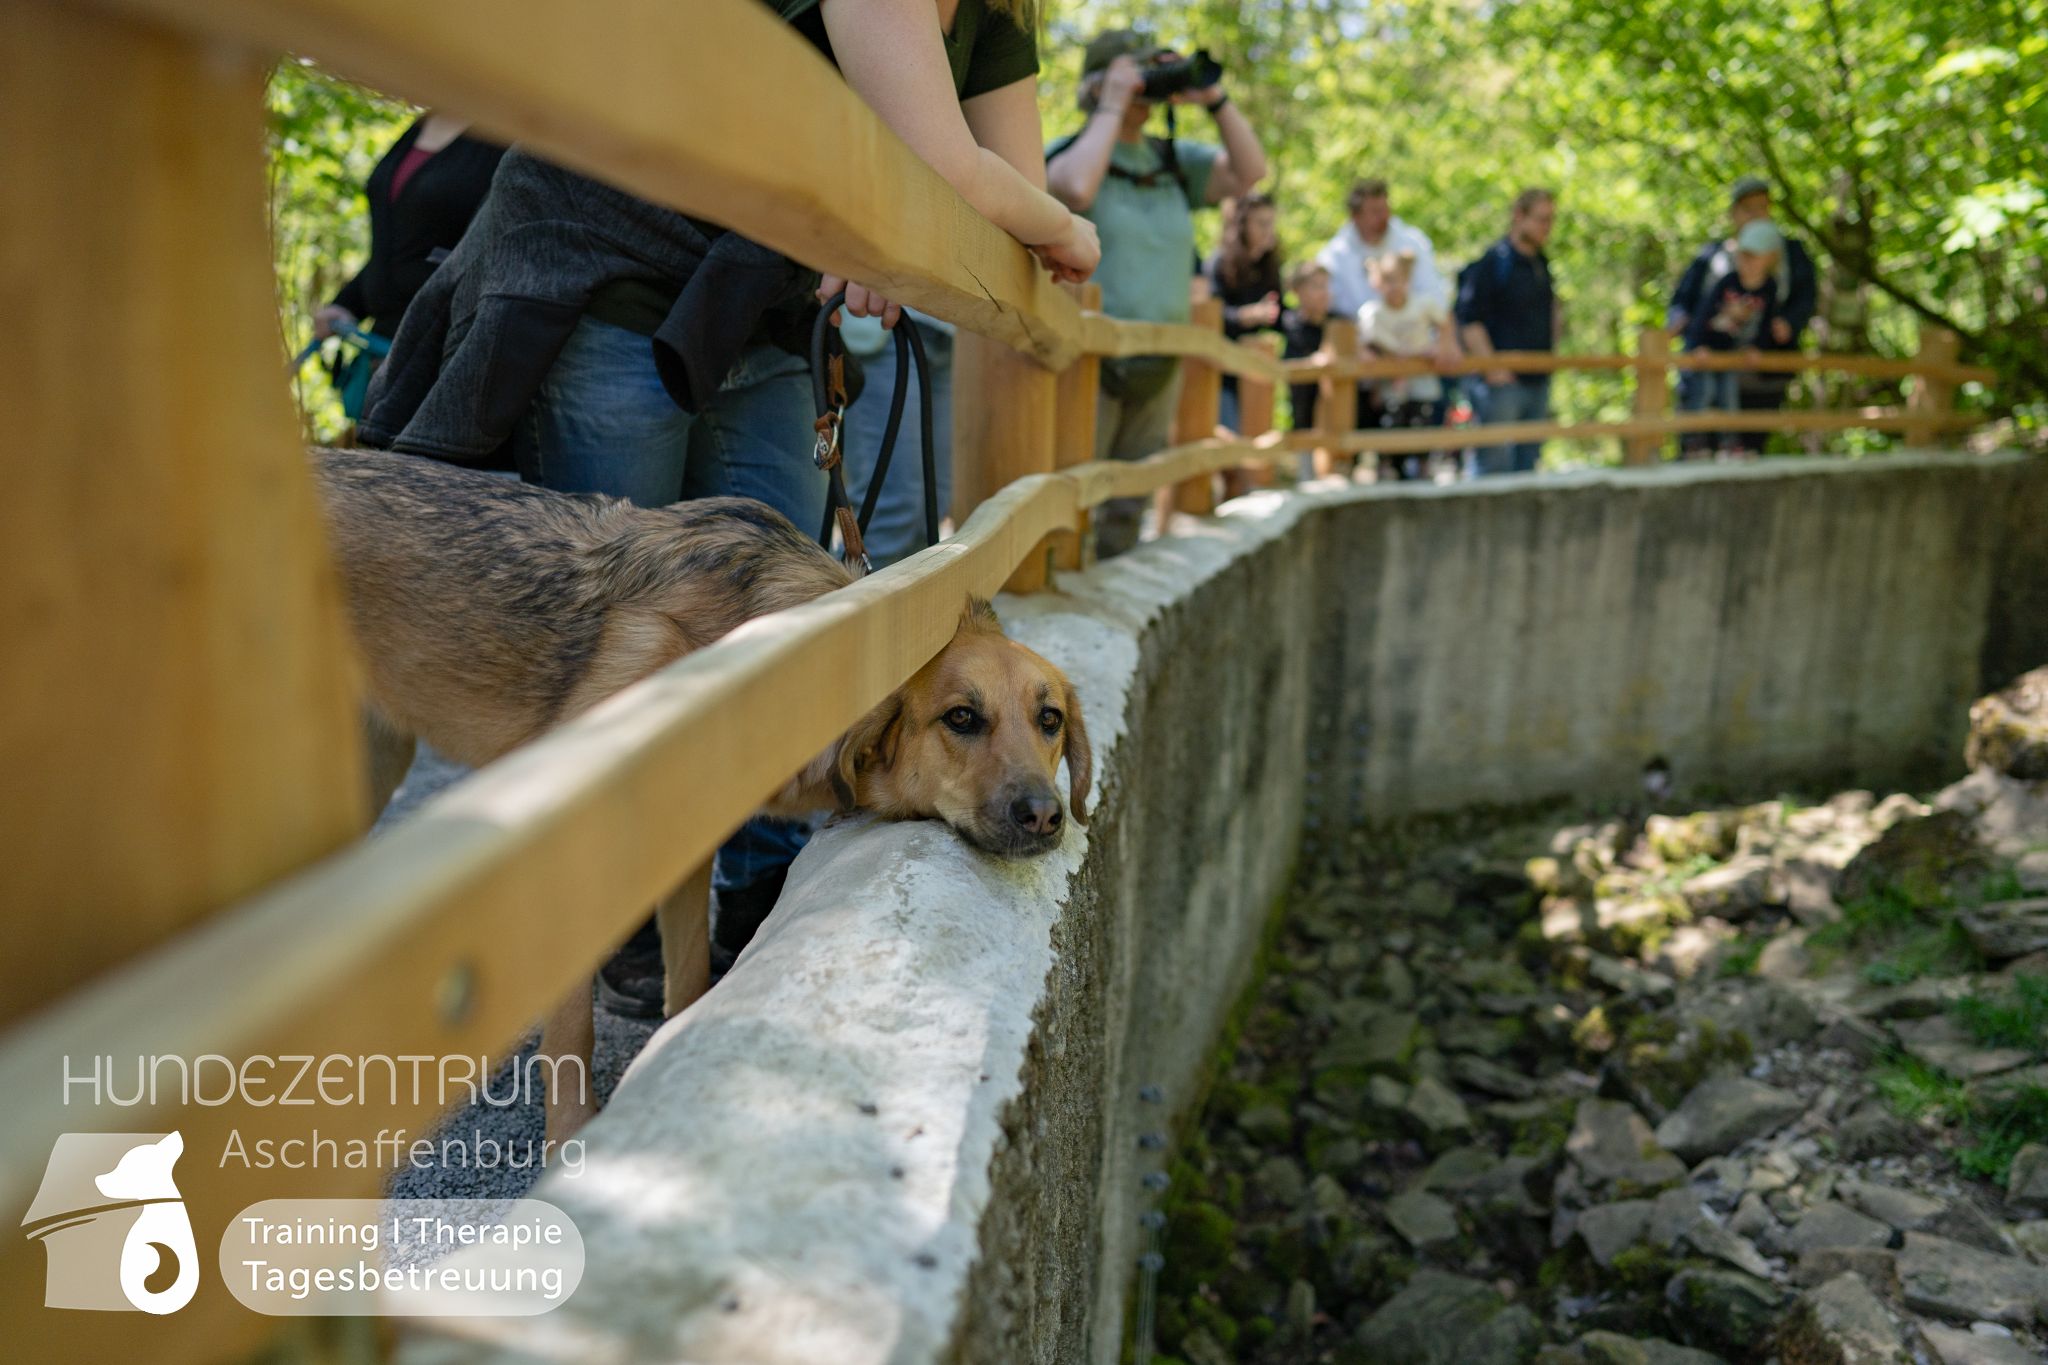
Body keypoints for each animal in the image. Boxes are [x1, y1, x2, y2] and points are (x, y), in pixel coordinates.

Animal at [311, 450, 1089, 1146]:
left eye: (1049, 719)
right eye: (961, 717)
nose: (1046, 816)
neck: (783, 652)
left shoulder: (684, 842)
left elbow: (685, 979)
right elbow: (571, 1036)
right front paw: (571, 1143)